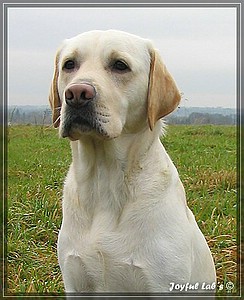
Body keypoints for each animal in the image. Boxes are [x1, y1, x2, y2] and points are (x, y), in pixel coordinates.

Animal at [48, 28, 216, 292]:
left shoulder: (162, 283)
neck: (104, 179)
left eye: (120, 65)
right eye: (69, 64)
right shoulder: (75, 281)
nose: (76, 94)